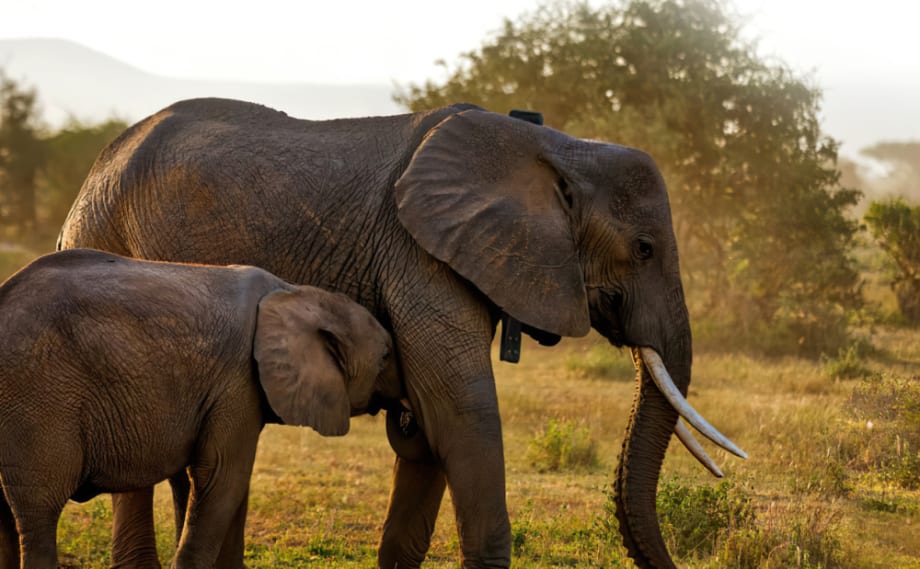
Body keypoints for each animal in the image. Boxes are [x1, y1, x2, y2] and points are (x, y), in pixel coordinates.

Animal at [0, 248, 400, 569]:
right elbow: (221, 475)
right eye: (385, 356)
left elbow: (231, 481)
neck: (295, 292)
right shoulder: (237, 382)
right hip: (38, 399)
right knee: (38, 511)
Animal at [57, 98, 745, 569]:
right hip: (107, 237)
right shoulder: (419, 257)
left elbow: (424, 434)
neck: (557, 146)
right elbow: (462, 417)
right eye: (645, 249)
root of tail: (94, 169)